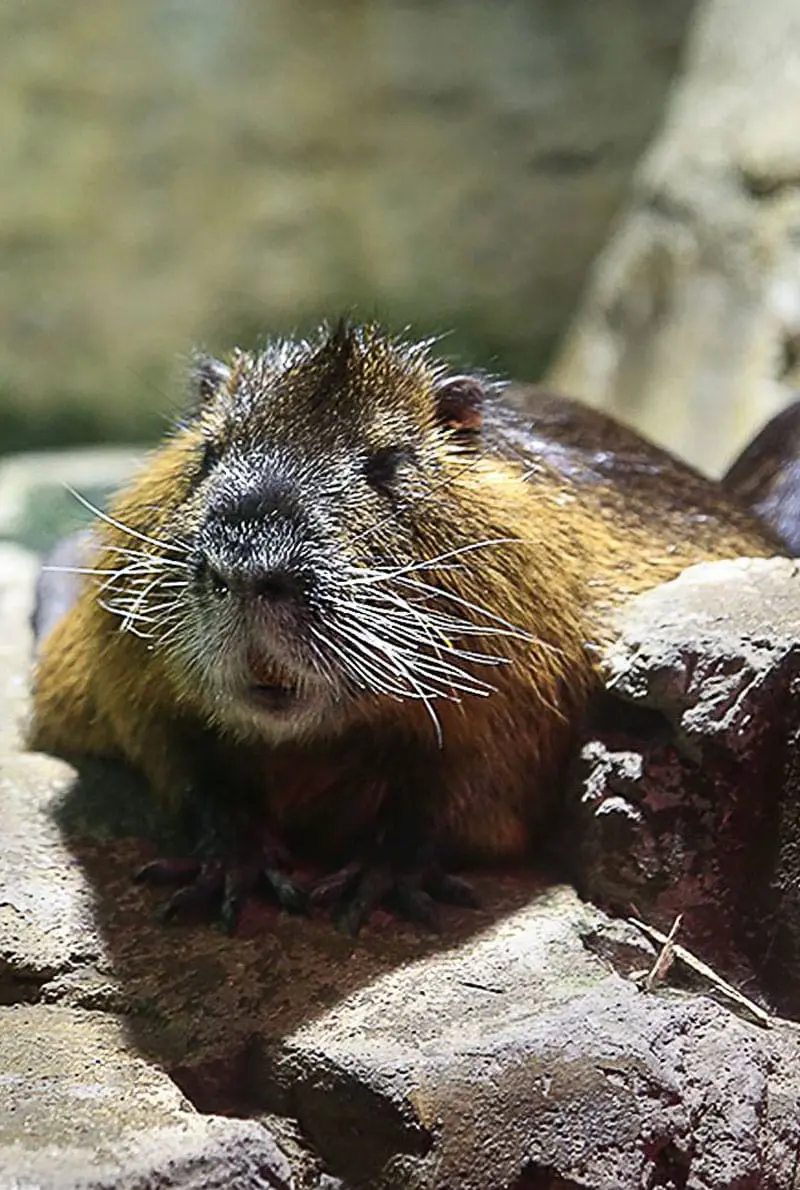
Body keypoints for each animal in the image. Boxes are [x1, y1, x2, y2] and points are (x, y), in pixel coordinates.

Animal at [29, 322, 783, 933]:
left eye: (387, 463)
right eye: (209, 453)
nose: (248, 568)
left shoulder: (525, 709)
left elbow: (462, 798)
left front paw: (371, 885)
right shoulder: (131, 686)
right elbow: (187, 770)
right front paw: (229, 874)